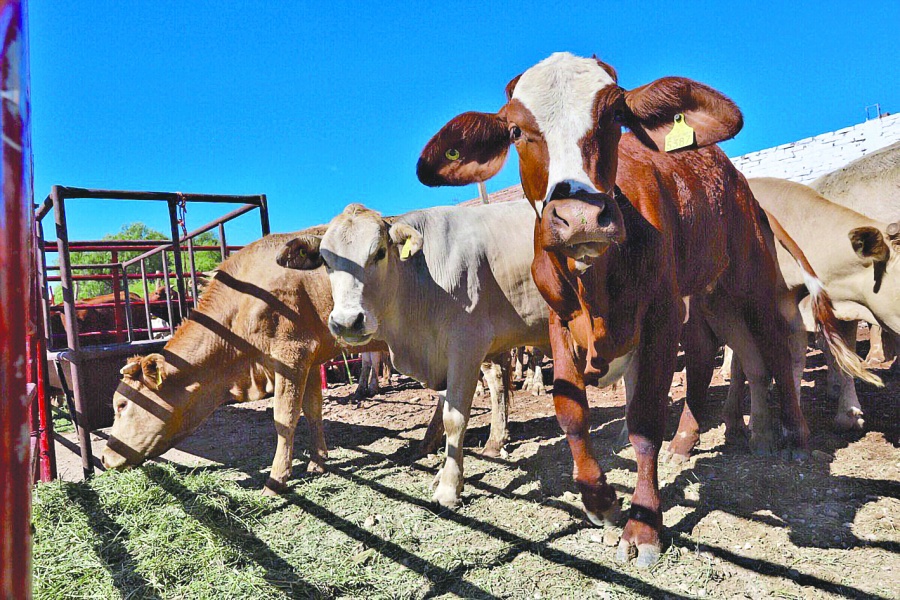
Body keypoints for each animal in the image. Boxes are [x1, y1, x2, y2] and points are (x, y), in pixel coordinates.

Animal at [414, 52, 828, 568]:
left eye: (614, 114)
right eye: (515, 131)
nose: (581, 218)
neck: (596, 286)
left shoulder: (658, 318)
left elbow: (644, 421)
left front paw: (643, 525)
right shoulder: (559, 323)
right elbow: (570, 412)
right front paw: (602, 501)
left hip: (749, 275)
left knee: (771, 341)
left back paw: (795, 435)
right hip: (704, 294)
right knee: (704, 353)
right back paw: (688, 442)